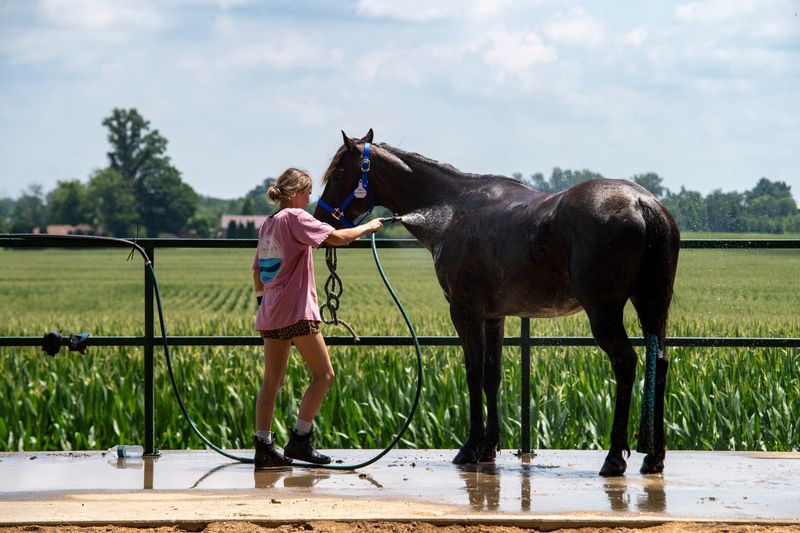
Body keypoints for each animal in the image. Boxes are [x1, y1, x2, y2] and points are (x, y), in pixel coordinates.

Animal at [314, 129, 680, 476]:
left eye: (339, 171)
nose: (321, 221)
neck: (451, 209)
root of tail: (641, 202)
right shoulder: (494, 316)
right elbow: (492, 375)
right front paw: (488, 448)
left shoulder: (465, 312)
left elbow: (474, 373)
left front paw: (470, 449)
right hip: (652, 304)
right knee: (660, 359)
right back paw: (654, 457)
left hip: (604, 311)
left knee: (625, 362)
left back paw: (614, 457)